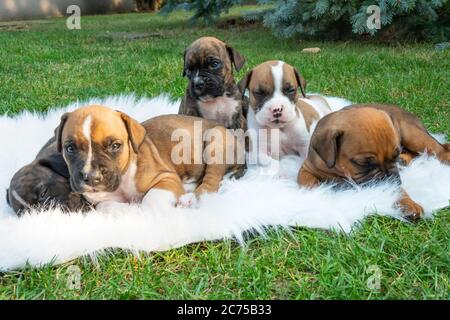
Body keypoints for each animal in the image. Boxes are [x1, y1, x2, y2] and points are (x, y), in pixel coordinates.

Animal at [56, 105, 246, 208]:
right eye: (70, 148)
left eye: (115, 146)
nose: (91, 177)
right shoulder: (98, 199)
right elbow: (105, 205)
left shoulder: (166, 178)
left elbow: (149, 202)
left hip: (216, 139)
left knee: (211, 182)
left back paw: (190, 198)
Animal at [296, 104, 450, 221]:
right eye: (363, 163)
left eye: (394, 156)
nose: (390, 178)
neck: (339, 170)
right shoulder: (306, 169)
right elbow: (309, 182)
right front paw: (319, 195)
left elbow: (399, 190)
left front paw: (408, 203)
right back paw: (404, 160)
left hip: (414, 136)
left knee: (440, 150)